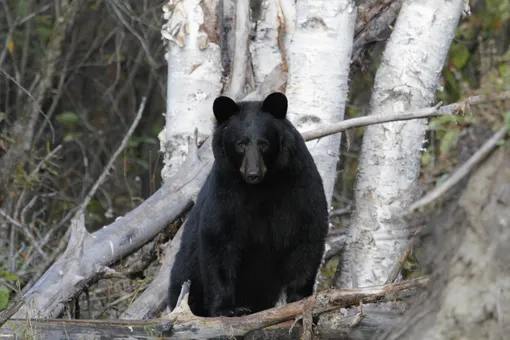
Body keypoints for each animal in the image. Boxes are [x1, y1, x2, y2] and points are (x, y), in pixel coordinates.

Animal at [167, 92, 326, 316]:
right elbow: (219, 238)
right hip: (186, 269)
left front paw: (299, 298)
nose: (253, 174)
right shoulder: (226, 191)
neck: (262, 188)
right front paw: (227, 309)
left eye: (264, 143)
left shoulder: (298, 184)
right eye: (240, 144)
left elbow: (307, 233)